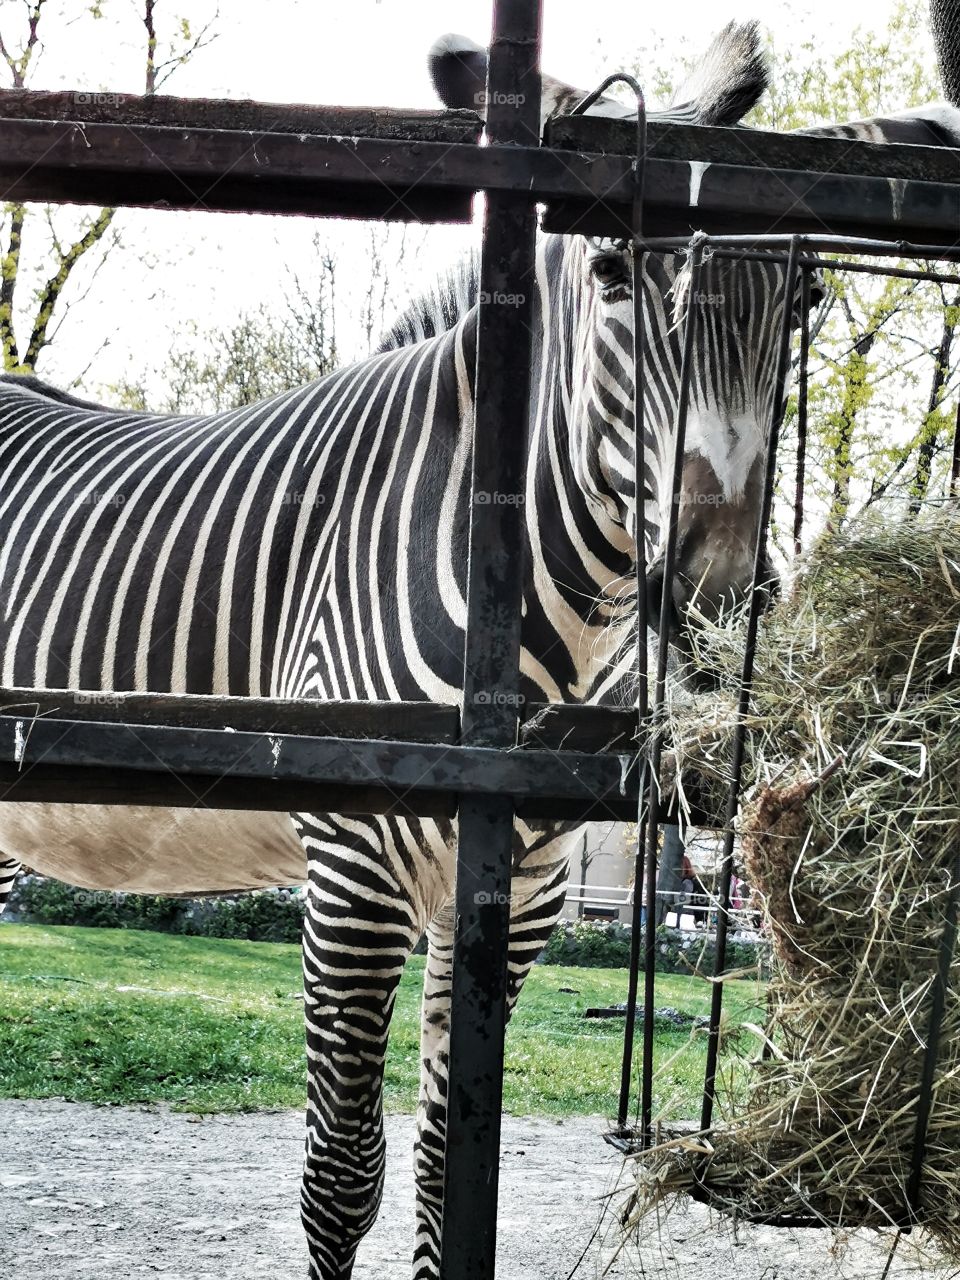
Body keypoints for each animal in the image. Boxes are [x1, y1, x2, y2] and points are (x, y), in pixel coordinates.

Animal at [3, 19, 960, 1280]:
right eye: (612, 274)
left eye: (803, 296)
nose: (712, 606)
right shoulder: (351, 869)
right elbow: (342, 1176)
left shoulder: (520, 888)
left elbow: (448, 1162)